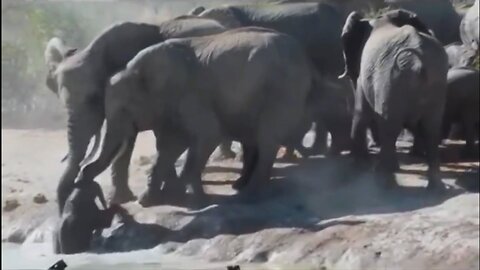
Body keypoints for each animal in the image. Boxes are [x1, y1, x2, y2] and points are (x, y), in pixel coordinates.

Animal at [43, 15, 227, 213]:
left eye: (94, 98)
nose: (63, 211)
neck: (95, 51)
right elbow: (130, 138)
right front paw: (122, 199)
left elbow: (156, 138)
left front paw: (166, 195)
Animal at [73, 26, 316, 207]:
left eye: (124, 110)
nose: (81, 177)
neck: (138, 70)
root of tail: (303, 56)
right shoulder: (172, 106)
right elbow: (170, 146)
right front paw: (148, 201)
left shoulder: (189, 95)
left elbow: (208, 135)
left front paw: (195, 200)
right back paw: (243, 187)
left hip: (282, 89)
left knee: (266, 139)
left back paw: (250, 195)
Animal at [342, 8, 450, 190]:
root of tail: (418, 62)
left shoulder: (365, 73)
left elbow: (360, 113)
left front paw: (357, 167)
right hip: (436, 81)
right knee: (431, 128)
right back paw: (436, 188)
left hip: (391, 78)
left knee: (389, 126)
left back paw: (383, 184)